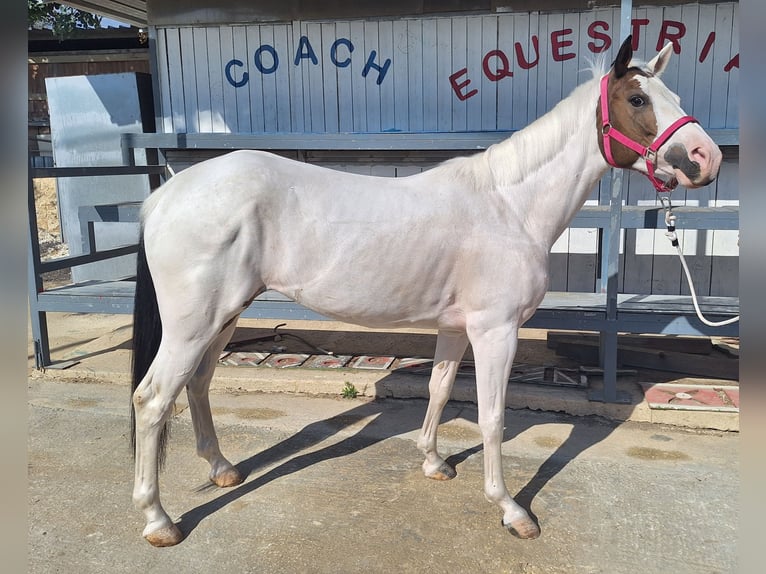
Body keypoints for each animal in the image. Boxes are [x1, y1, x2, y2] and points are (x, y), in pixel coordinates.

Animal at [130, 36, 722, 547]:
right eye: (638, 99)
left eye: (675, 97)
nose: (705, 158)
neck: (508, 207)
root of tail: (165, 196)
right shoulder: (496, 331)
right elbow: (493, 417)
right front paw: (511, 509)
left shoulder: (456, 328)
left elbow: (438, 389)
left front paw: (434, 463)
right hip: (193, 325)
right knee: (153, 398)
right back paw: (159, 520)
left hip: (223, 317)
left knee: (197, 385)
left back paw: (222, 470)